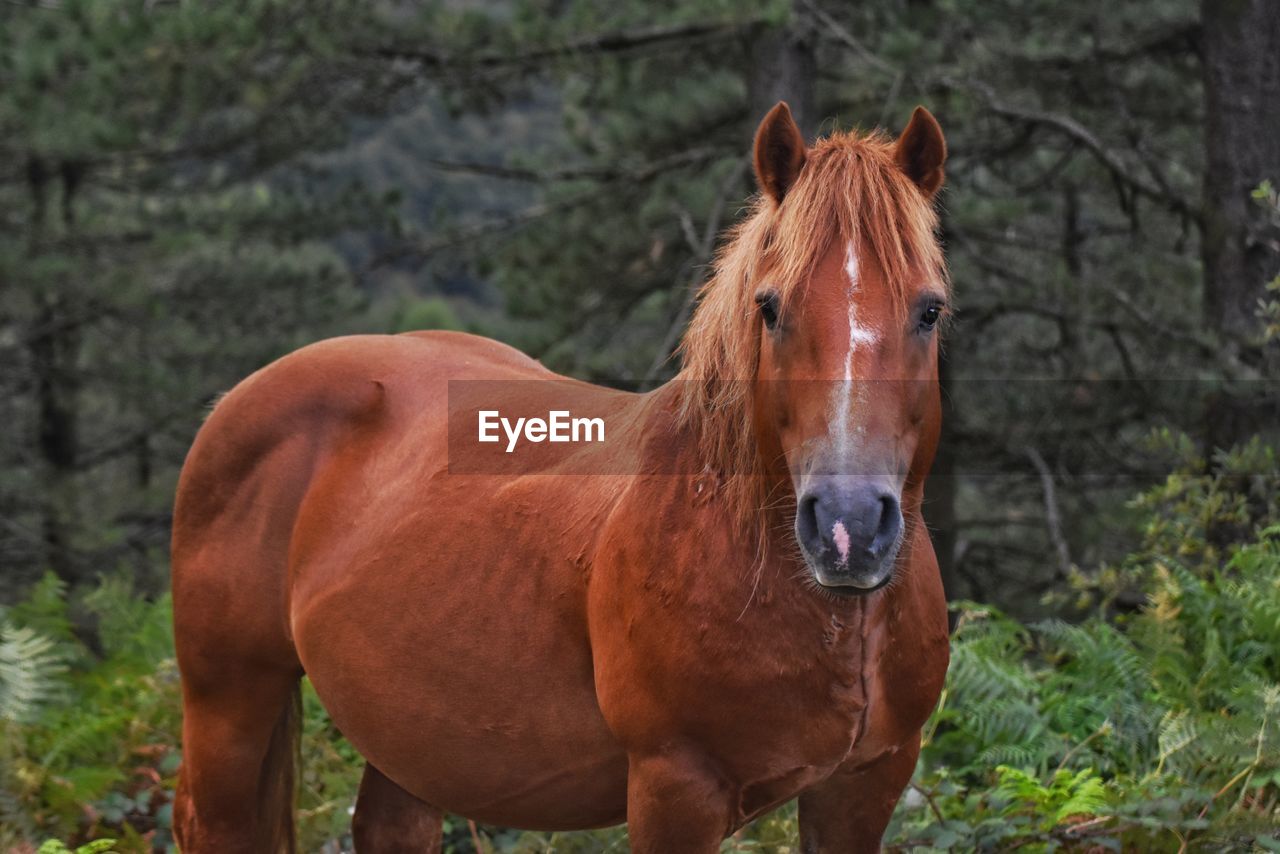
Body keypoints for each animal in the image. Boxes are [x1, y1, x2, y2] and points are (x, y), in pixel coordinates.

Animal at [170, 101, 952, 854]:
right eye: (770, 306)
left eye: (929, 309)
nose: (849, 528)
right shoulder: (676, 789)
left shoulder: (864, 784)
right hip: (229, 702)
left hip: (411, 736)